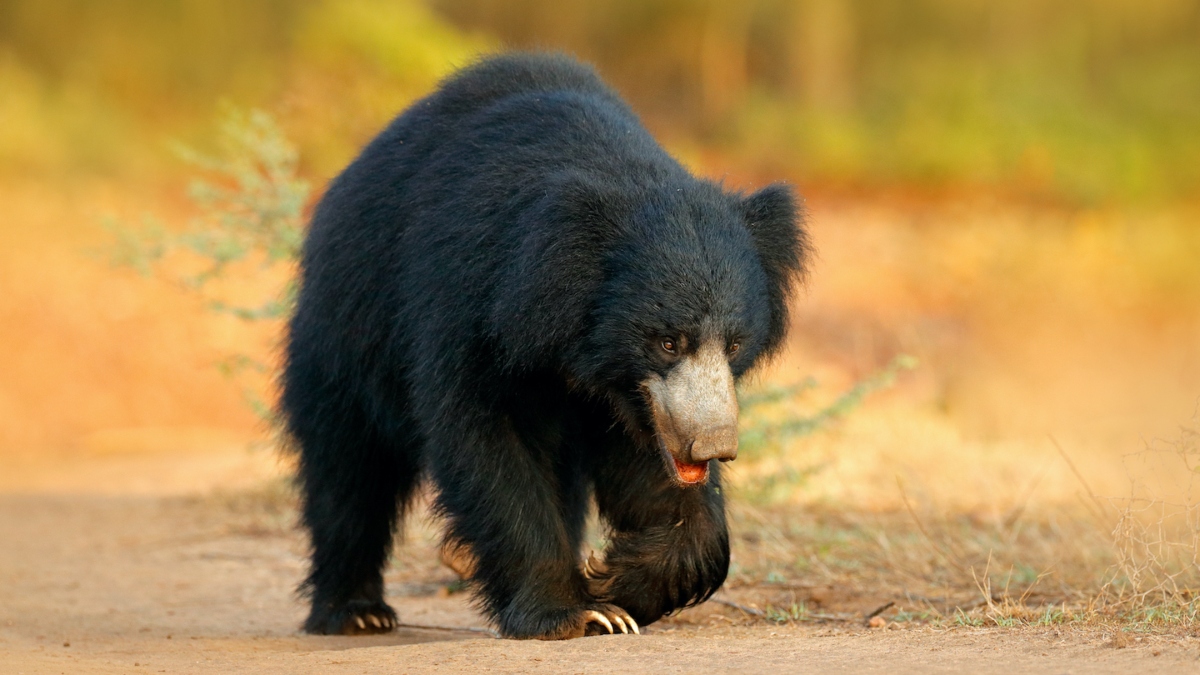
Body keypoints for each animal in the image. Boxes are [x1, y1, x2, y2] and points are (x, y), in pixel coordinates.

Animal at [280, 52, 808, 640]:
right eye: (668, 341)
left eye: (734, 344)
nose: (712, 446)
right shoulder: (470, 305)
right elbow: (489, 443)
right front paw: (574, 611)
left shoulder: (634, 397)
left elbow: (651, 467)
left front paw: (615, 580)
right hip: (344, 339)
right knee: (349, 473)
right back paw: (356, 611)